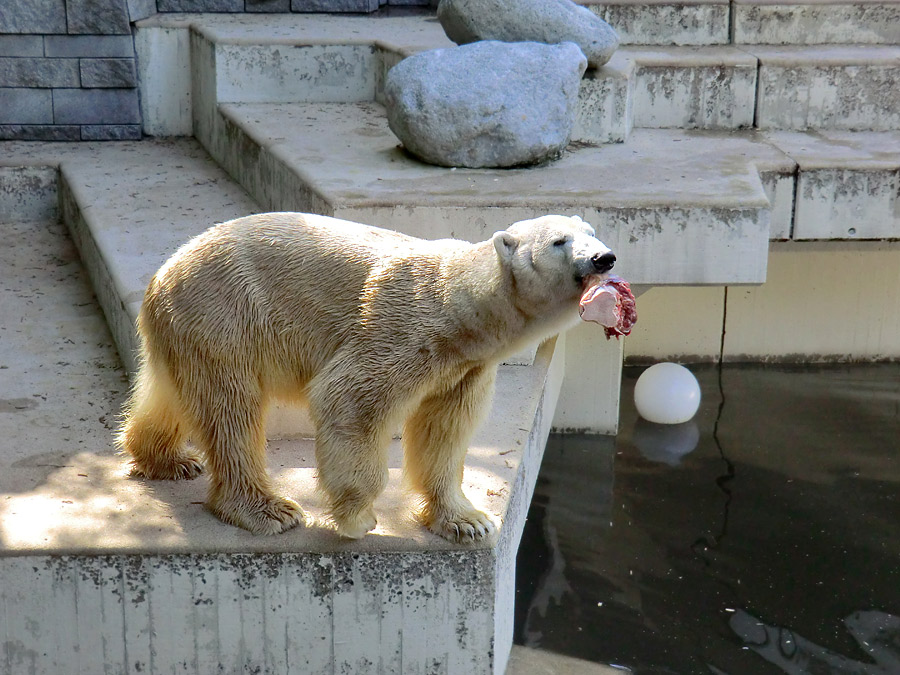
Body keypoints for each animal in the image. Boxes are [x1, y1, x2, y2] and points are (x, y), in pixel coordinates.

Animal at [116, 214, 616, 540]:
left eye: (592, 232)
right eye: (559, 241)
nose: (603, 258)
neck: (460, 309)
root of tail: (162, 275)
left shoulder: (465, 367)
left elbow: (444, 432)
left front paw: (467, 520)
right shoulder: (403, 329)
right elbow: (351, 400)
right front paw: (357, 518)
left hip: (190, 328)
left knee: (175, 394)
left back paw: (168, 459)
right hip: (224, 313)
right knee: (231, 410)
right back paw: (269, 510)